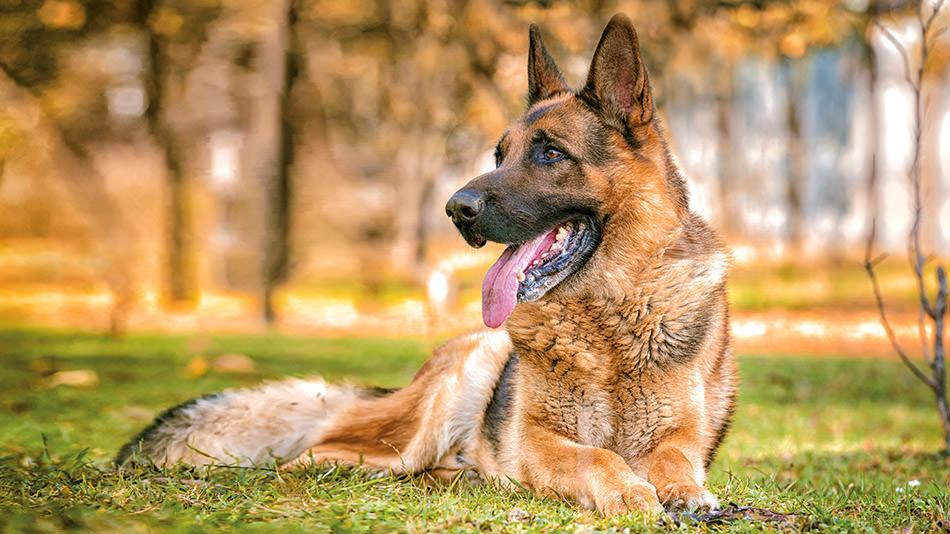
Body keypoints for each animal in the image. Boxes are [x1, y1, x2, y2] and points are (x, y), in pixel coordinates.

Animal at [119, 15, 740, 520]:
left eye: (551, 153)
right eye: (499, 154)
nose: (455, 208)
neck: (610, 318)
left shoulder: (681, 435)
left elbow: (674, 460)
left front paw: (685, 493)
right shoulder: (537, 441)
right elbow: (598, 459)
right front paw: (630, 489)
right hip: (434, 412)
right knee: (319, 452)